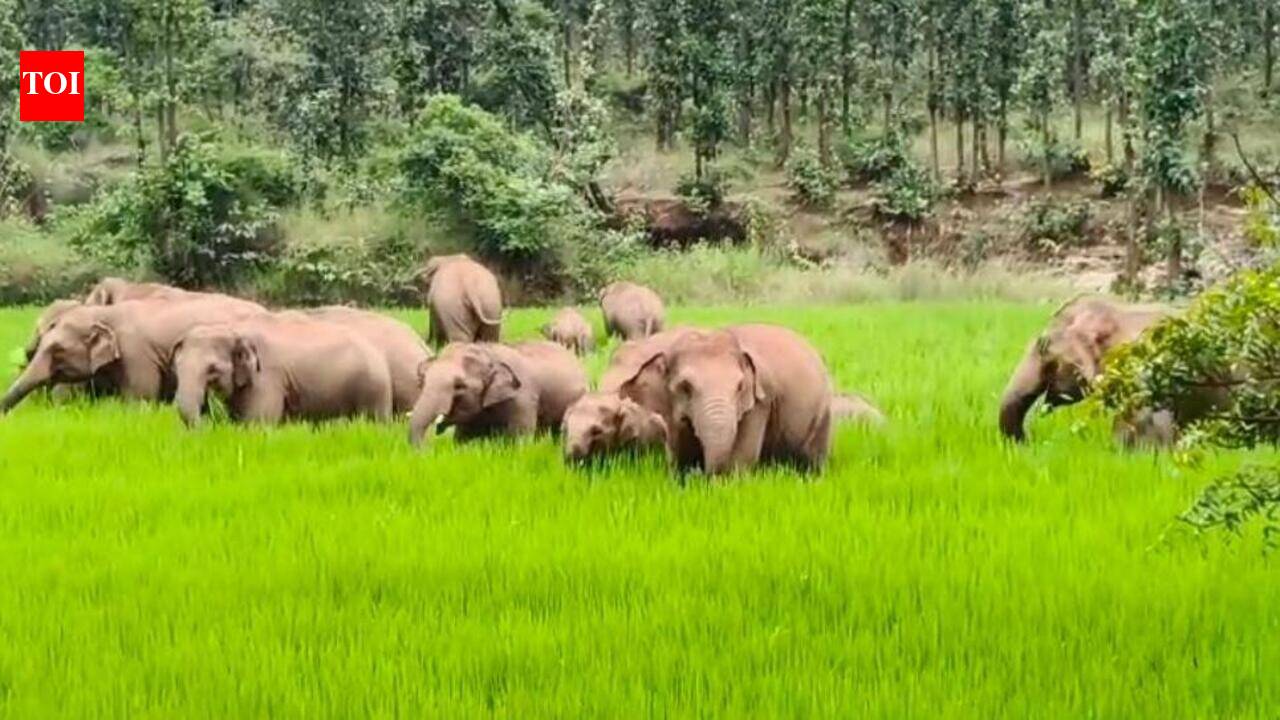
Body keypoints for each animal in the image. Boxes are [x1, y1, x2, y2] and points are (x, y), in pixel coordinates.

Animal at [173, 315, 393, 426]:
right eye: (177, 366)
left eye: (212, 369)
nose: (206, 426)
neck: (234, 328)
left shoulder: (266, 380)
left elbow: (258, 424)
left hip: (373, 388)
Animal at [408, 341, 588, 446]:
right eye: (422, 381)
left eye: (459, 386)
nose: (426, 452)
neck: (489, 353)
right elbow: (462, 438)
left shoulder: (522, 399)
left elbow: (519, 439)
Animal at [617, 324, 833, 476]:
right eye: (685, 387)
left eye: (739, 387)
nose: (705, 474)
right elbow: (680, 458)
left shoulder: (759, 403)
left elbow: (741, 459)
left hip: (823, 411)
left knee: (813, 457)